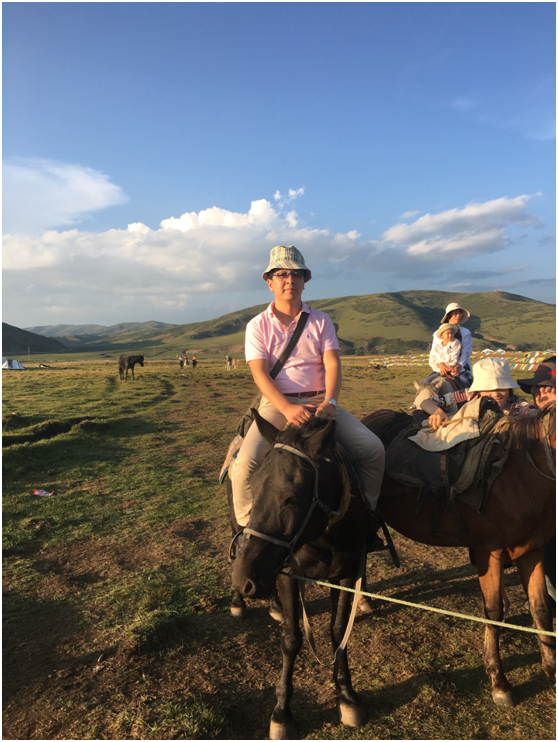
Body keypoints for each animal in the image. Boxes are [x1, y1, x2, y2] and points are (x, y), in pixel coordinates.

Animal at [231, 410, 369, 739]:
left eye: (292, 498)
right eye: (254, 486)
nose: (244, 579)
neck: (324, 536)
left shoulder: (346, 576)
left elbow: (338, 632)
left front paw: (347, 696)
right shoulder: (287, 576)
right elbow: (291, 639)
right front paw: (282, 713)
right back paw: (239, 600)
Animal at [361, 404, 556, 708]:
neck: (522, 473)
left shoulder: (531, 551)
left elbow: (541, 609)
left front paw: (551, 672)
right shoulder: (490, 552)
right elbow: (493, 612)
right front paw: (499, 683)